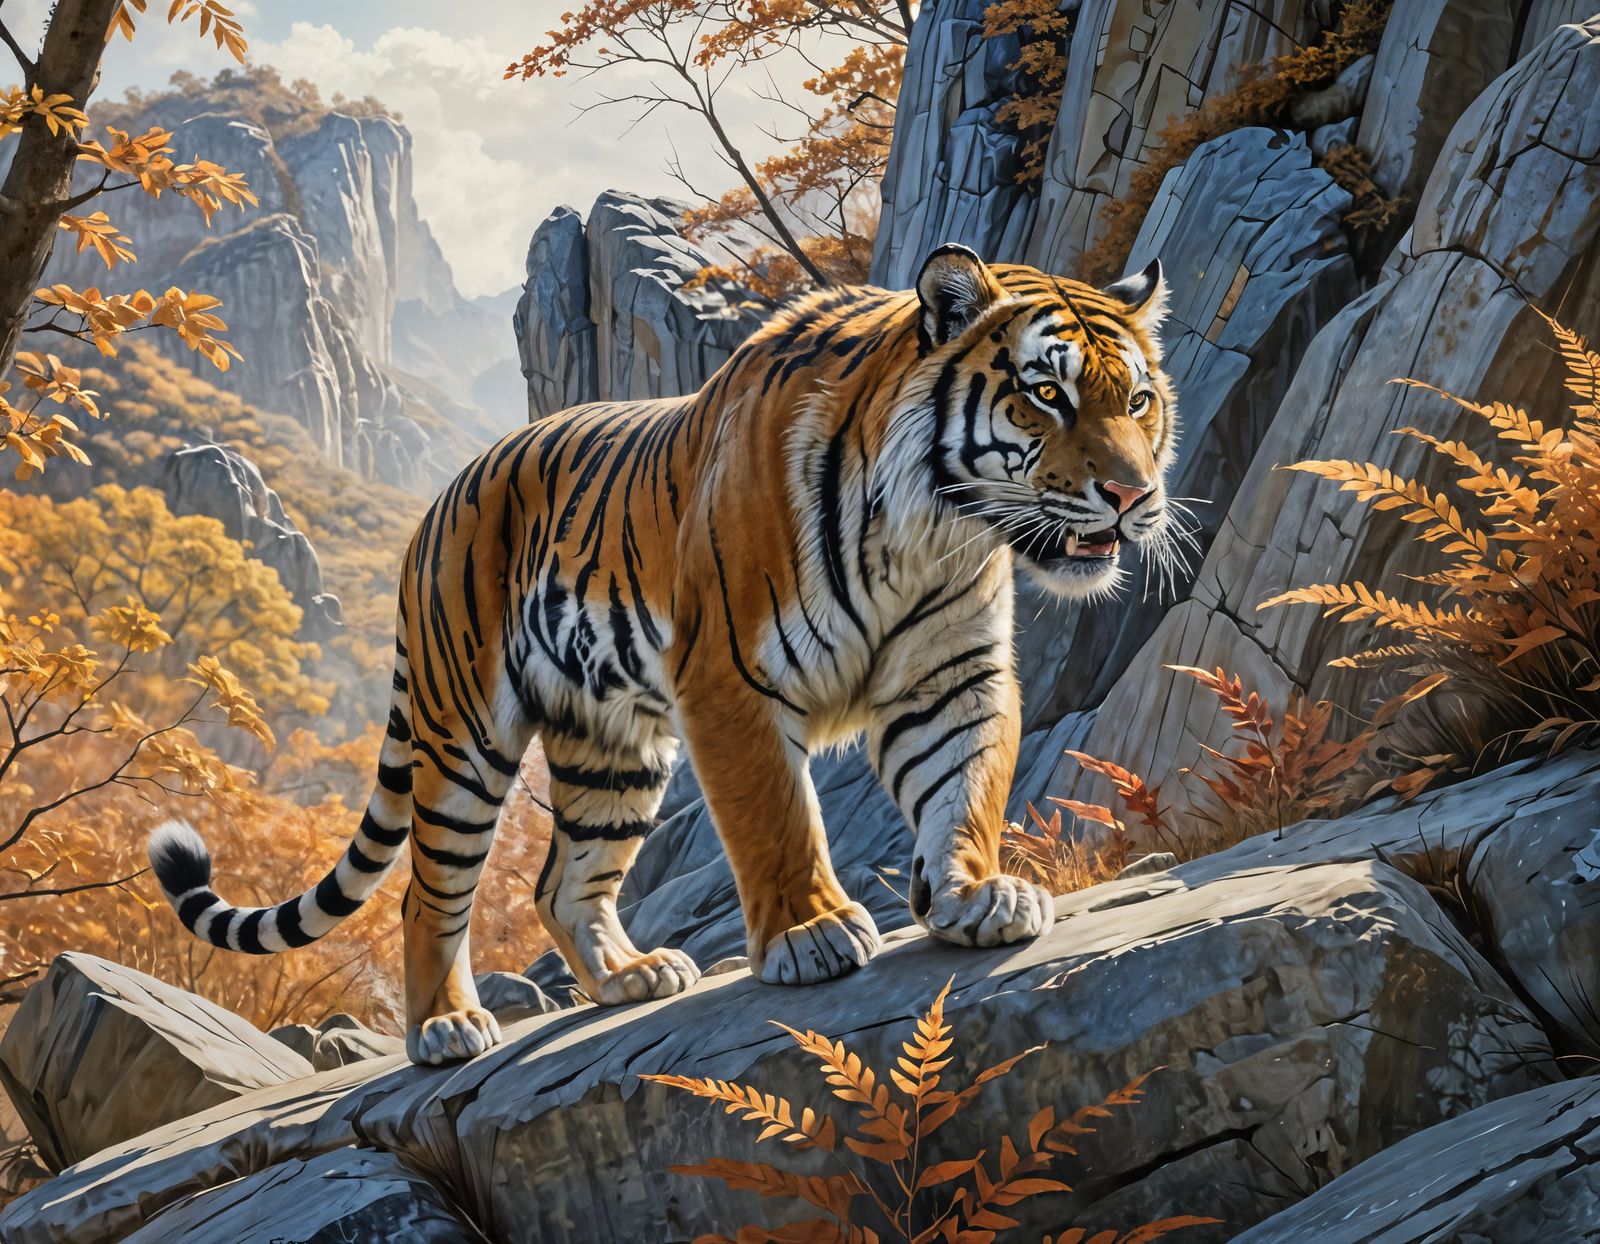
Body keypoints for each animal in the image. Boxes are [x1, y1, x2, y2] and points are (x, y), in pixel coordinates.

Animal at [149, 244, 1178, 1065]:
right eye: (1046, 394)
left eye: (1137, 400)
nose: (1133, 496)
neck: (936, 529)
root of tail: (436, 505)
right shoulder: (731, 680)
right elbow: (776, 818)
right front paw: (811, 935)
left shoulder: (951, 675)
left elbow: (965, 789)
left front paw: (976, 896)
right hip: (463, 739)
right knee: (427, 895)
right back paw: (445, 1028)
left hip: (611, 750)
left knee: (561, 885)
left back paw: (629, 977)